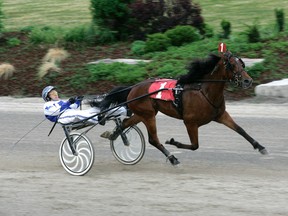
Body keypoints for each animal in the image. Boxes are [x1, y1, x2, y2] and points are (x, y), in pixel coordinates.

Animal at [99, 48, 268, 165]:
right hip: (148, 115)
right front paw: (173, 142)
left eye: (241, 63)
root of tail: (133, 88)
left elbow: (240, 130)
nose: (248, 81)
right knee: (153, 139)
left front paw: (260, 146)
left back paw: (113, 135)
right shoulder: (190, 122)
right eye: (232, 65)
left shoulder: (220, 115)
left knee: (125, 123)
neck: (204, 92)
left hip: (142, 114)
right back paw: (172, 158)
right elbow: (194, 145)